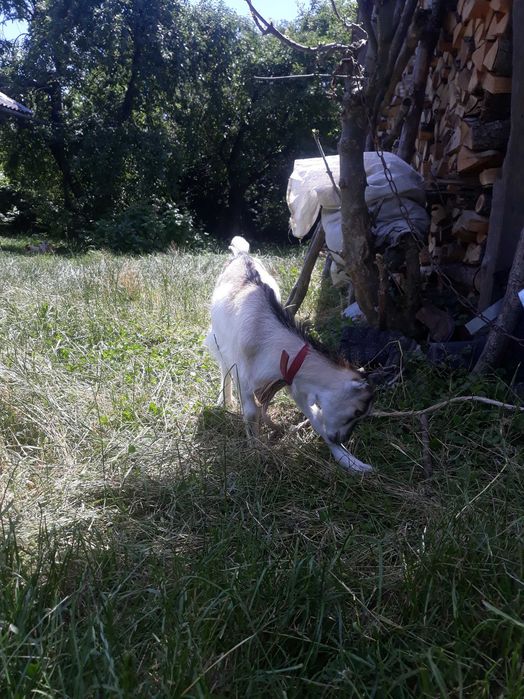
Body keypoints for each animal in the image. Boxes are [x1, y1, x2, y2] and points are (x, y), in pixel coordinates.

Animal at [204, 236, 374, 472]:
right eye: (357, 412)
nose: (342, 438)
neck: (271, 341)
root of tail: (242, 254)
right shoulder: (244, 377)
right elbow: (251, 412)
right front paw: (256, 453)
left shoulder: (293, 379)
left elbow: (314, 417)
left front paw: (351, 462)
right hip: (219, 339)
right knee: (223, 367)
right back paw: (225, 400)